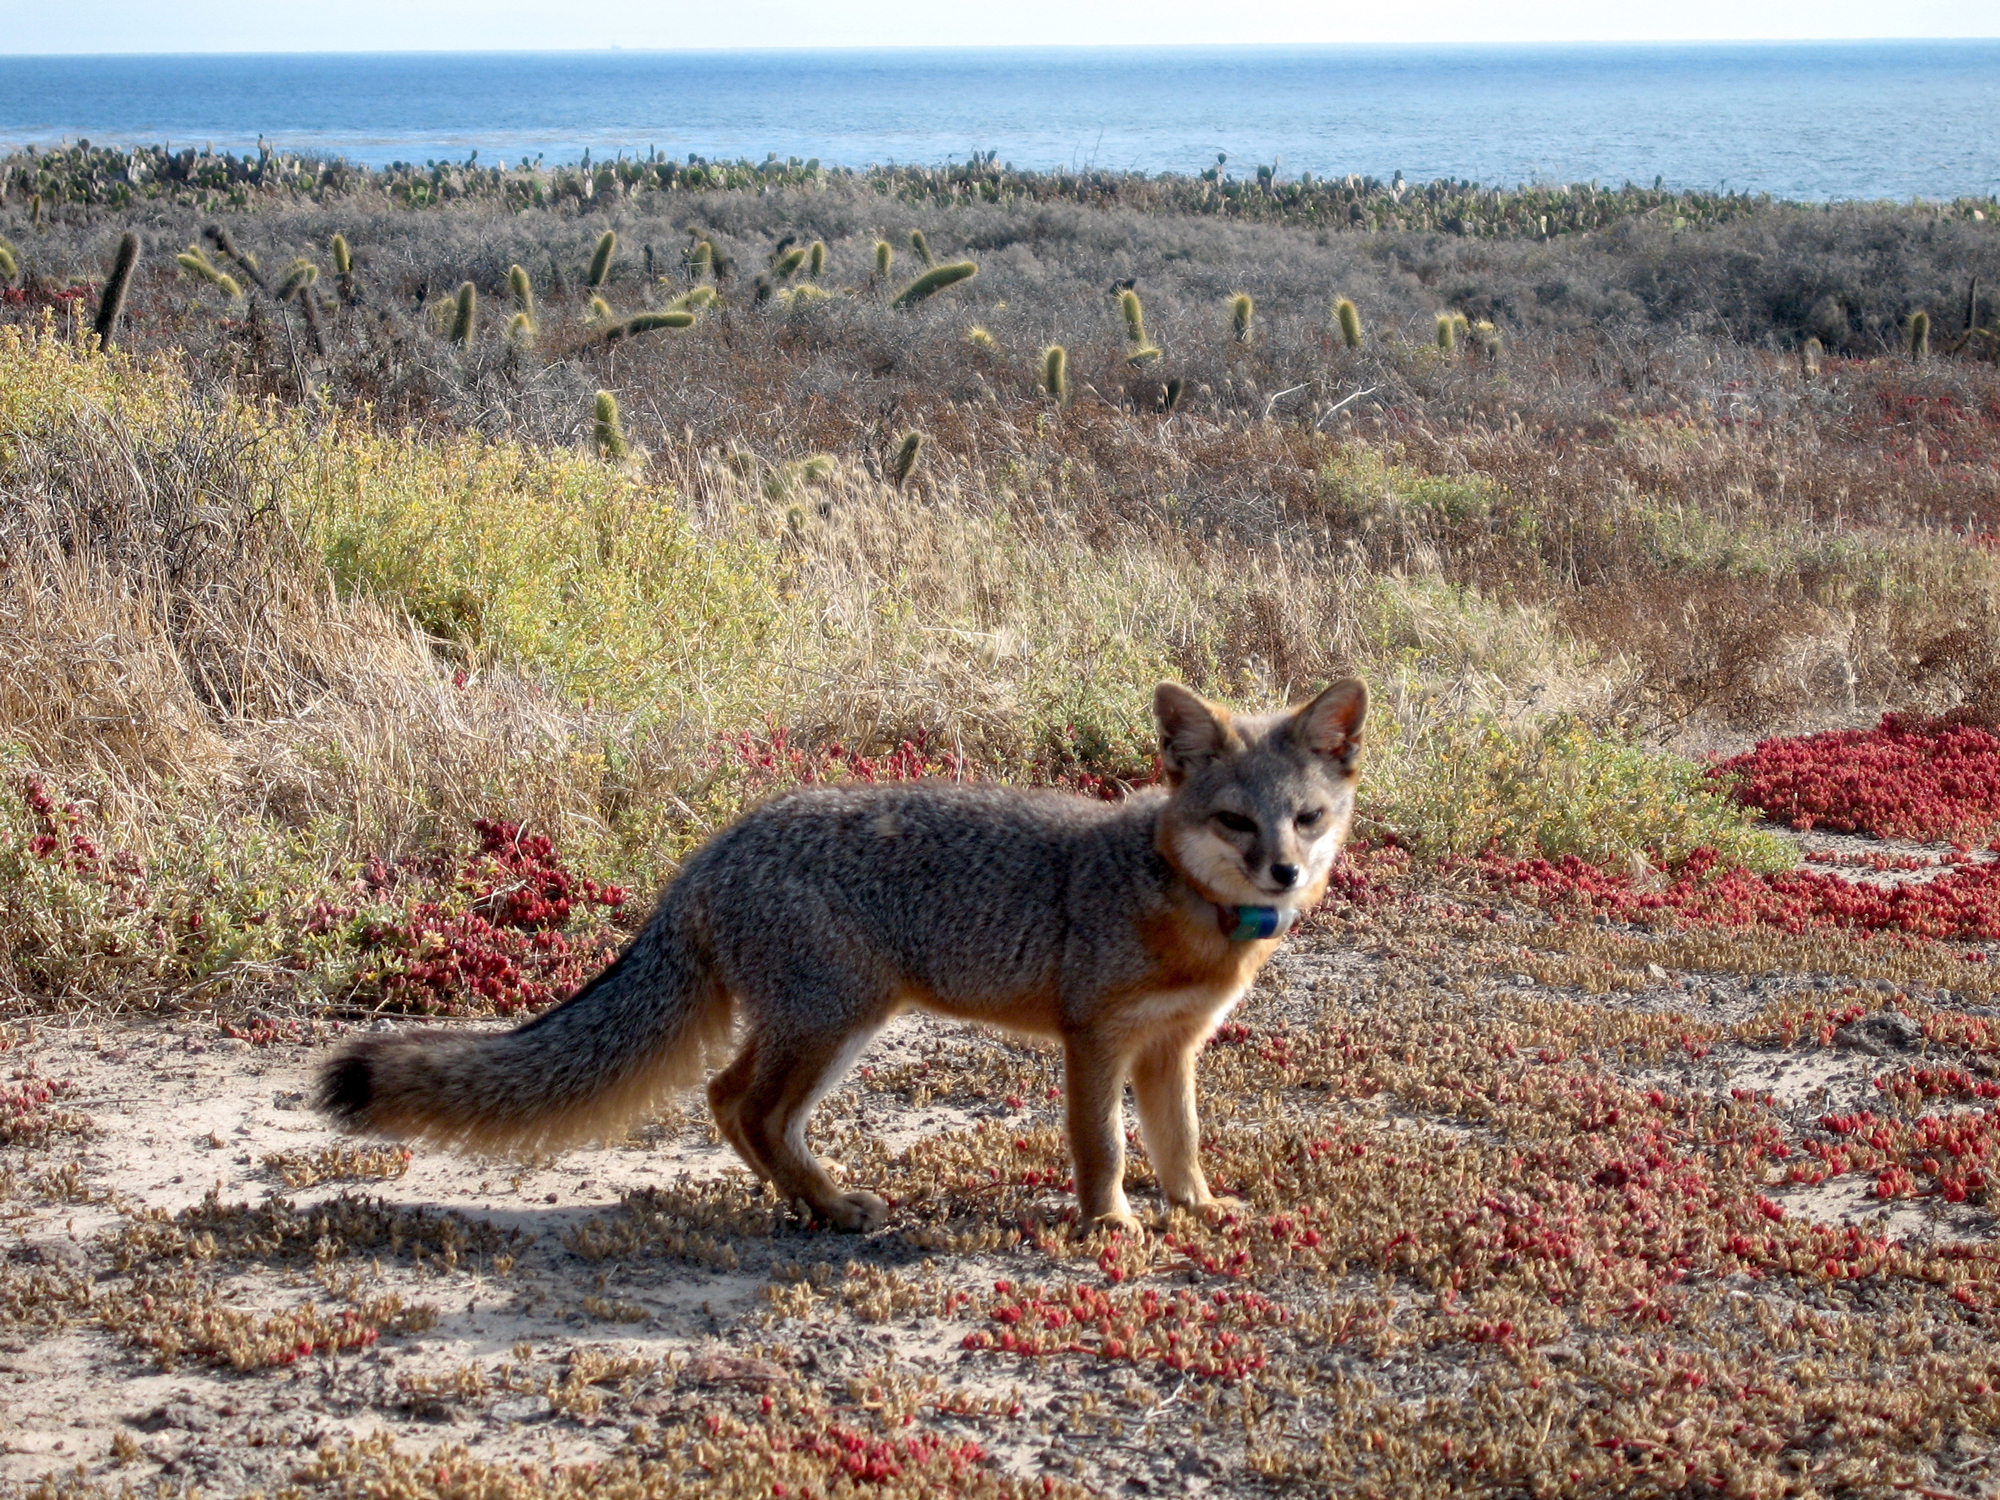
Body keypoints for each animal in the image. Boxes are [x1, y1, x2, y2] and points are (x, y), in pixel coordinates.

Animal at [317, 678, 1367, 1234]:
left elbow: (1179, 1141)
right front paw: (1109, 1224)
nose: (1282, 871)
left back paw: (801, 1200)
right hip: (840, 1020)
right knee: (749, 1105)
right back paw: (827, 1202)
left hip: (814, 1021)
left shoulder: (1170, 1050)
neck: (1181, 907)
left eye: (1308, 819)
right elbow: (1103, 1145)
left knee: (728, 1098)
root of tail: (711, 852)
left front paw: (1199, 1207)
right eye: (1234, 821)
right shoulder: (1093, 1041)